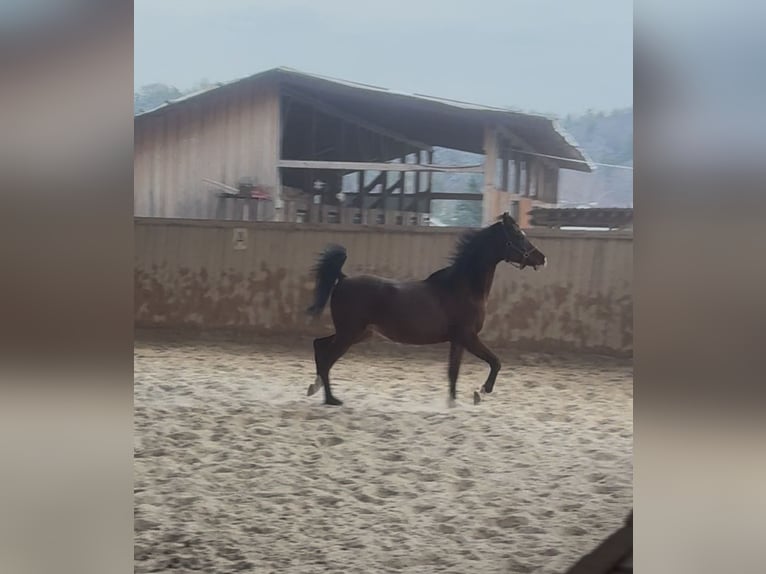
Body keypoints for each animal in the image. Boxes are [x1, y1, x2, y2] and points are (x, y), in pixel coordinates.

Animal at [305, 212, 546, 406]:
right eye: (518, 236)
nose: (542, 258)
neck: (462, 288)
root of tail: (343, 278)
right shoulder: (468, 336)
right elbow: (495, 362)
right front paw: (480, 392)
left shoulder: (458, 340)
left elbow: (453, 372)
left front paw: (453, 403)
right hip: (350, 333)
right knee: (326, 358)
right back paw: (331, 399)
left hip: (358, 333)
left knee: (320, 346)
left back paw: (315, 388)